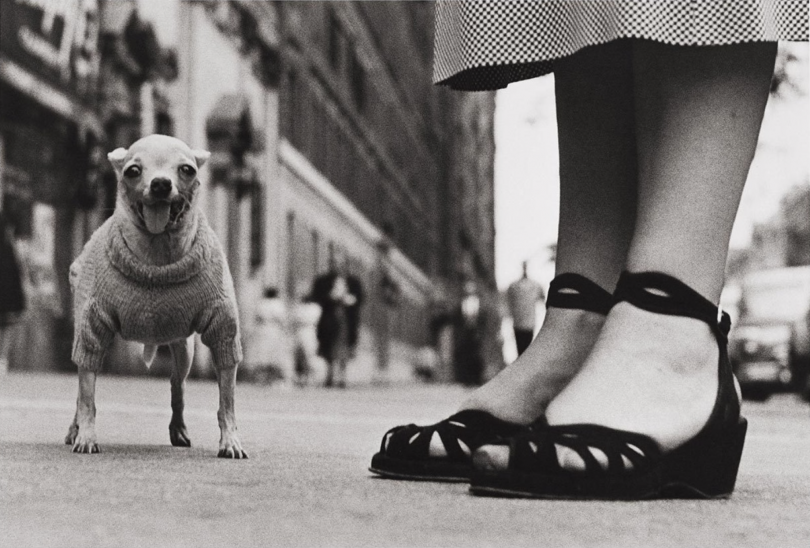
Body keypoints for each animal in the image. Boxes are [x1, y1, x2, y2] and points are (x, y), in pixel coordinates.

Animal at [66, 134, 246, 458]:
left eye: (187, 169)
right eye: (133, 171)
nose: (161, 183)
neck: (157, 254)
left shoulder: (223, 331)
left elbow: (227, 401)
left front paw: (230, 440)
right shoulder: (90, 331)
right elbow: (87, 396)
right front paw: (85, 435)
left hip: (183, 349)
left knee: (177, 385)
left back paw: (179, 428)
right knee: (81, 388)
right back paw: (74, 429)